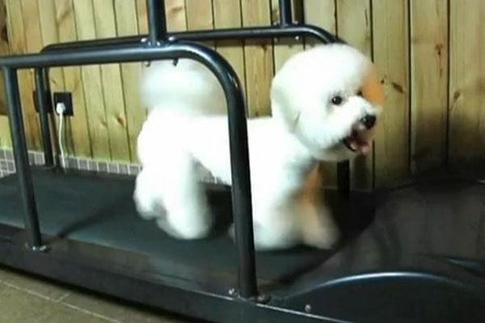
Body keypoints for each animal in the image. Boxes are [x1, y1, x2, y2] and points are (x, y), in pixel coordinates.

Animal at [132, 43, 382, 251]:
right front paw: (258, 239)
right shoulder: (269, 203)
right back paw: (183, 228)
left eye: (360, 93)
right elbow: (280, 232)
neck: (291, 144)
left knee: (147, 180)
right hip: (175, 168)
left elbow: (313, 219)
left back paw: (146, 206)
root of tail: (168, 107)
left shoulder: (302, 195)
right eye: (336, 100)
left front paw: (321, 237)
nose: (369, 119)